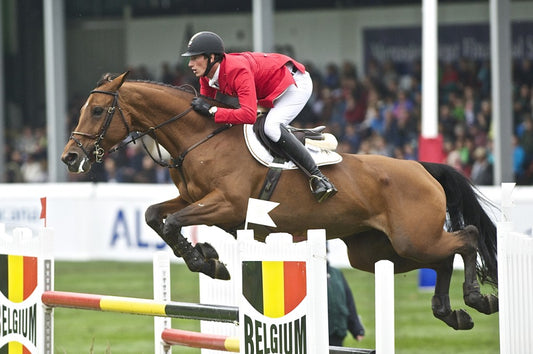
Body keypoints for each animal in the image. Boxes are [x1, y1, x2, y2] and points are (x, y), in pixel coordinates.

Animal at [60, 71, 496, 330]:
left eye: (97, 110)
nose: (69, 157)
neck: (199, 139)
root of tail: (421, 168)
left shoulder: (228, 205)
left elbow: (172, 222)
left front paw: (208, 261)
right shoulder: (191, 198)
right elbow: (156, 215)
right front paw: (207, 258)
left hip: (410, 238)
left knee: (468, 238)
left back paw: (476, 299)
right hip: (379, 252)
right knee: (443, 257)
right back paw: (452, 313)